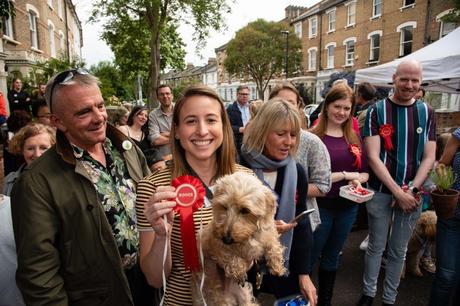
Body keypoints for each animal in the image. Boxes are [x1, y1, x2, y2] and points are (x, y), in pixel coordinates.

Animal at [191, 173, 286, 304]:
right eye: (224, 207)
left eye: (245, 210)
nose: (226, 239)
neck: (248, 235)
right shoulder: (215, 242)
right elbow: (230, 257)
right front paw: (238, 272)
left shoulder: (268, 234)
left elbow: (274, 246)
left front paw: (277, 266)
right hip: (218, 297)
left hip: (244, 296)